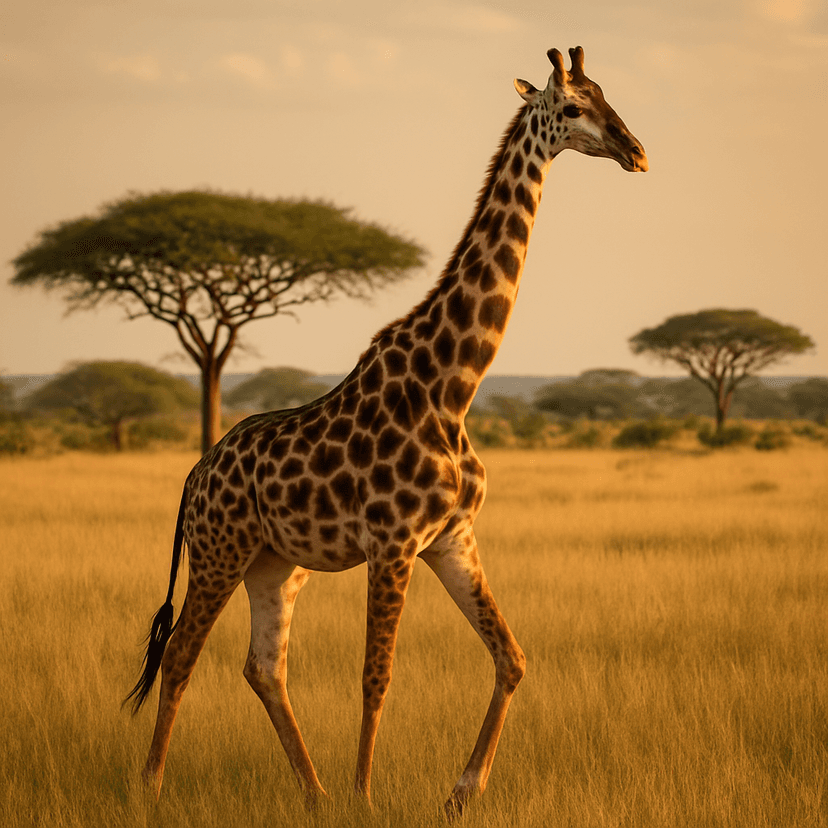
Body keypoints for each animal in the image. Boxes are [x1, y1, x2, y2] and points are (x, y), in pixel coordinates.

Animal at [126, 46, 647, 816]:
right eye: (577, 107)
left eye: (609, 96)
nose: (636, 150)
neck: (454, 386)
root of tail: (193, 477)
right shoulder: (393, 543)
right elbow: (377, 678)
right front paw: (367, 797)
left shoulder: (452, 538)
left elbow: (512, 658)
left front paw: (459, 794)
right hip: (220, 553)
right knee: (183, 654)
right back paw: (152, 788)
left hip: (274, 565)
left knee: (263, 666)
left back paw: (313, 794)